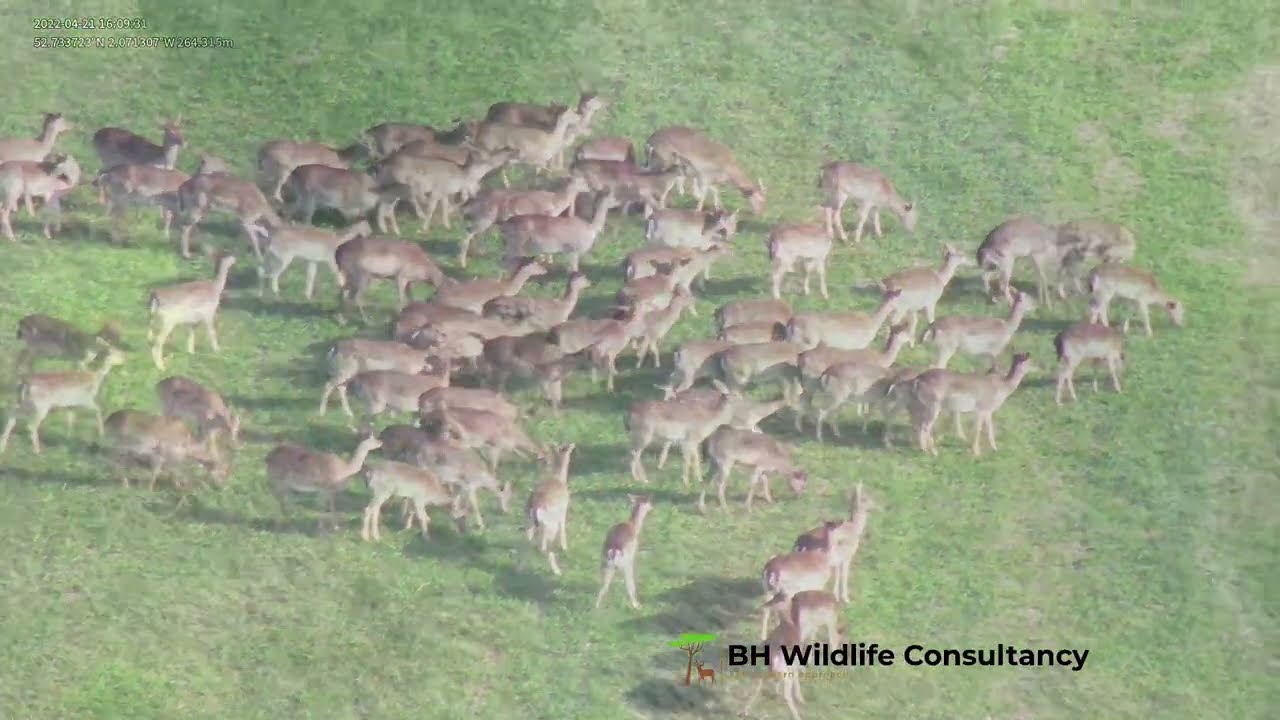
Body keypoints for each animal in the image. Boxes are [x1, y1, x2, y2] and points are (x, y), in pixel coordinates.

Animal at [458, 175, 588, 267]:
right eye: (582, 181)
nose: (589, 187)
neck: (555, 202)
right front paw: (545, 261)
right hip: (484, 221)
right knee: (468, 234)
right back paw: (462, 263)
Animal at [524, 443, 576, 575]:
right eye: (567, 448)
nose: (573, 445)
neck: (559, 479)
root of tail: (535, 506)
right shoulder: (563, 511)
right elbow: (563, 528)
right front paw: (565, 547)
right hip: (550, 527)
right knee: (544, 548)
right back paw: (557, 571)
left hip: (529, 522)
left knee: (526, 540)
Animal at [907, 352, 1036, 456]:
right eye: (1030, 361)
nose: (1038, 366)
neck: (1002, 388)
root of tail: (918, 379)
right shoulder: (982, 408)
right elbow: (978, 429)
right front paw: (976, 453)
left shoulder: (988, 411)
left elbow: (989, 429)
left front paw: (995, 449)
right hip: (934, 406)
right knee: (926, 426)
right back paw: (934, 452)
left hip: (923, 405)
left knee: (919, 423)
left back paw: (923, 449)